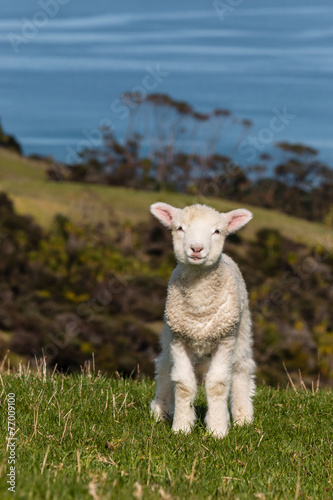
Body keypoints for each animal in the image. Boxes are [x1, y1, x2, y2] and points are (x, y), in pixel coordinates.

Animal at [149, 201, 255, 436]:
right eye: (179, 228)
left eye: (217, 231)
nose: (196, 248)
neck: (200, 310)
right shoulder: (179, 339)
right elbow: (183, 384)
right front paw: (181, 427)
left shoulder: (225, 340)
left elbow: (217, 384)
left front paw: (217, 429)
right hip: (168, 334)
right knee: (164, 365)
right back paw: (160, 409)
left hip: (241, 330)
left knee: (241, 367)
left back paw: (243, 416)